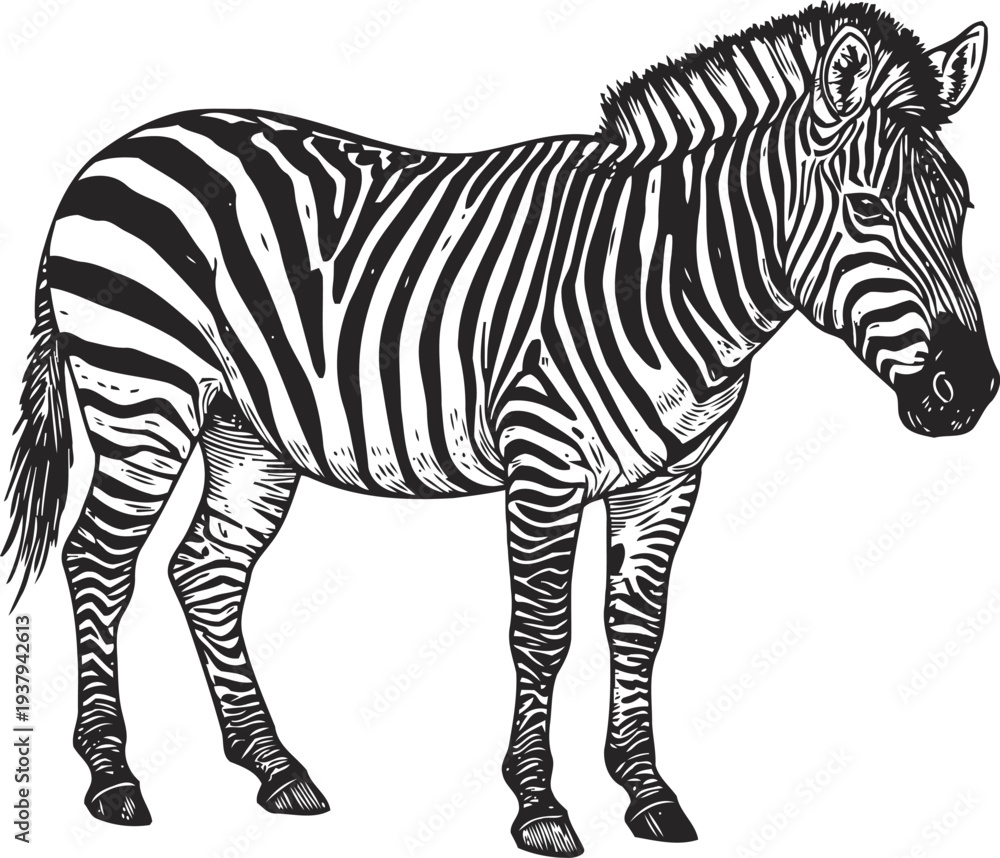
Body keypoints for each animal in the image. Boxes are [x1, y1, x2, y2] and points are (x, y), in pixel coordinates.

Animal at [4, 4, 996, 855]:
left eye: (963, 207)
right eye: (868, 207)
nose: (971, 393)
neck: (664, 273)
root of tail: (119, 149)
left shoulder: (665, 478)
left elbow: (638, 629)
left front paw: (647, 793)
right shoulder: (543, 461)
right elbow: (544, 633)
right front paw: (540, 806)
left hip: (245, 429)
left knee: (206, 570)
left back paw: (274, 767)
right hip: (142, 394)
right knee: (99, 560)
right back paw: (113, 777)